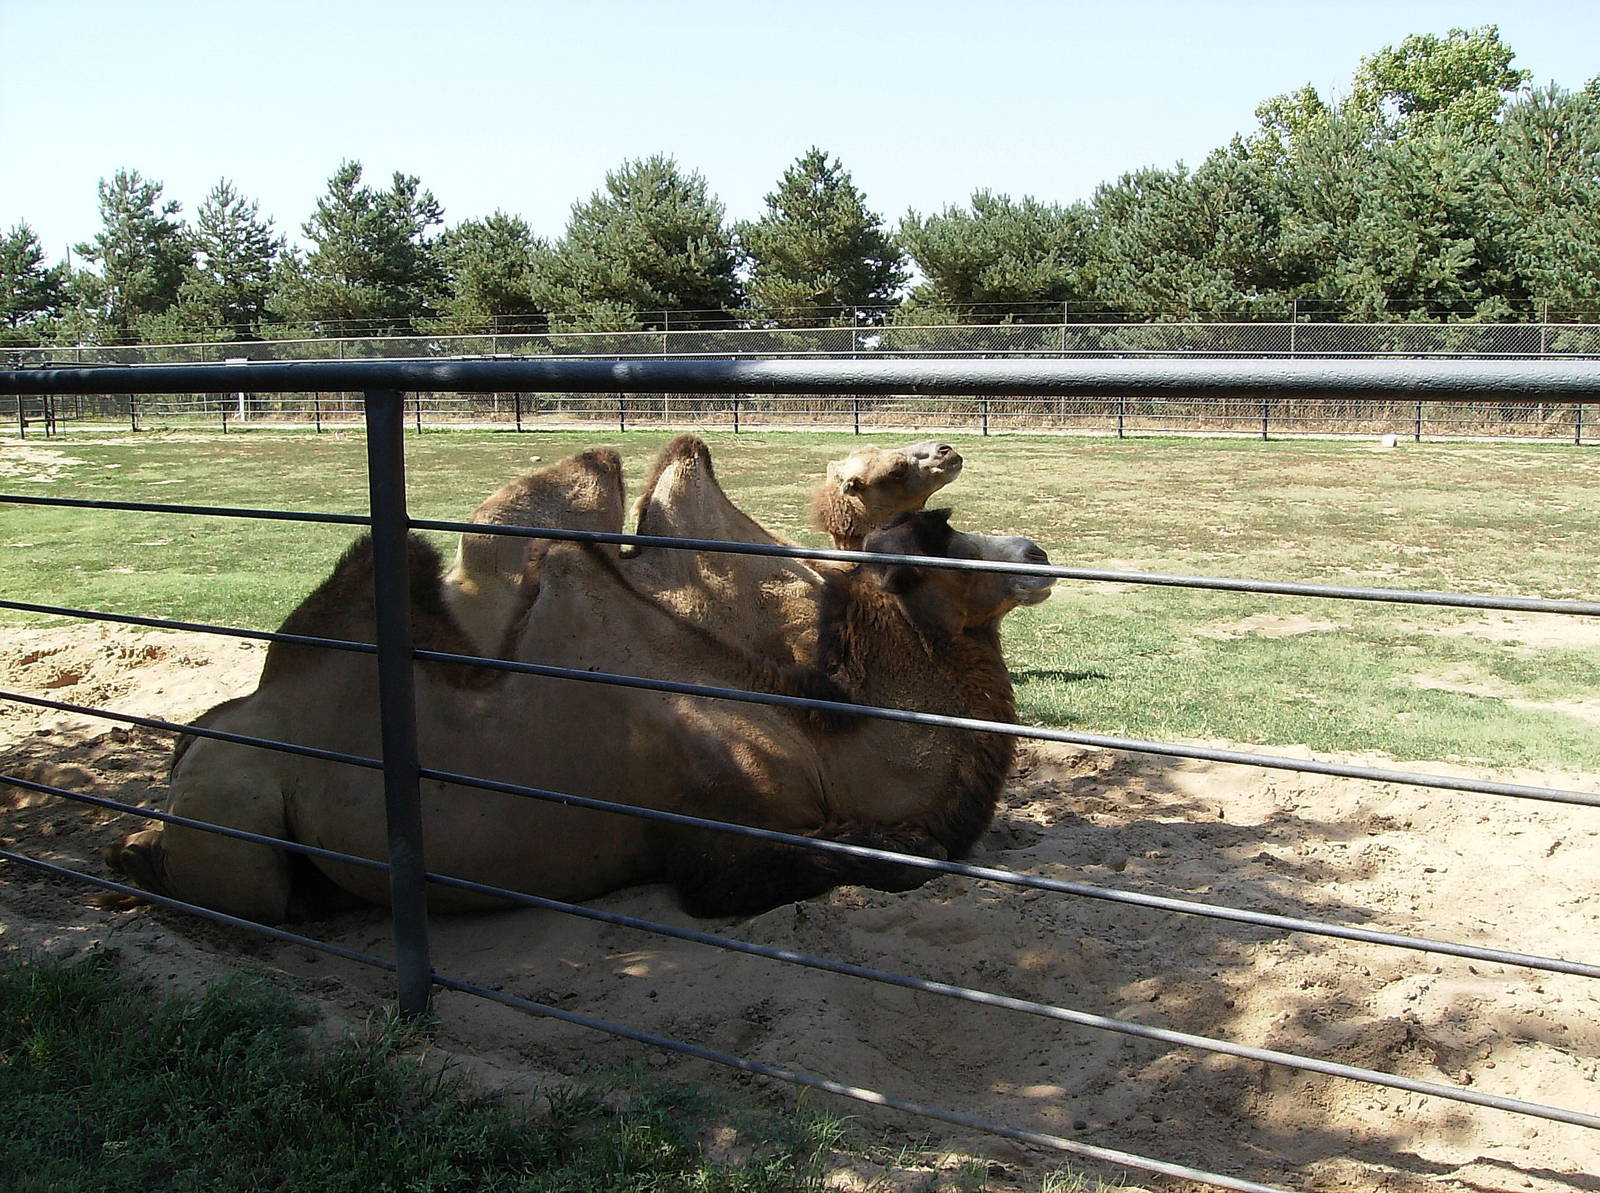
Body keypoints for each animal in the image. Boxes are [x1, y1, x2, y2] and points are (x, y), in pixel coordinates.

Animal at [107, 438, 1053, 924]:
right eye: (934, 539)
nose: (1036, 552)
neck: (817, 739)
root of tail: (201, 736)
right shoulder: (714, 839)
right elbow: (864, 859)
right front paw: (902, 846)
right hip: (238, 811)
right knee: (245, 891)